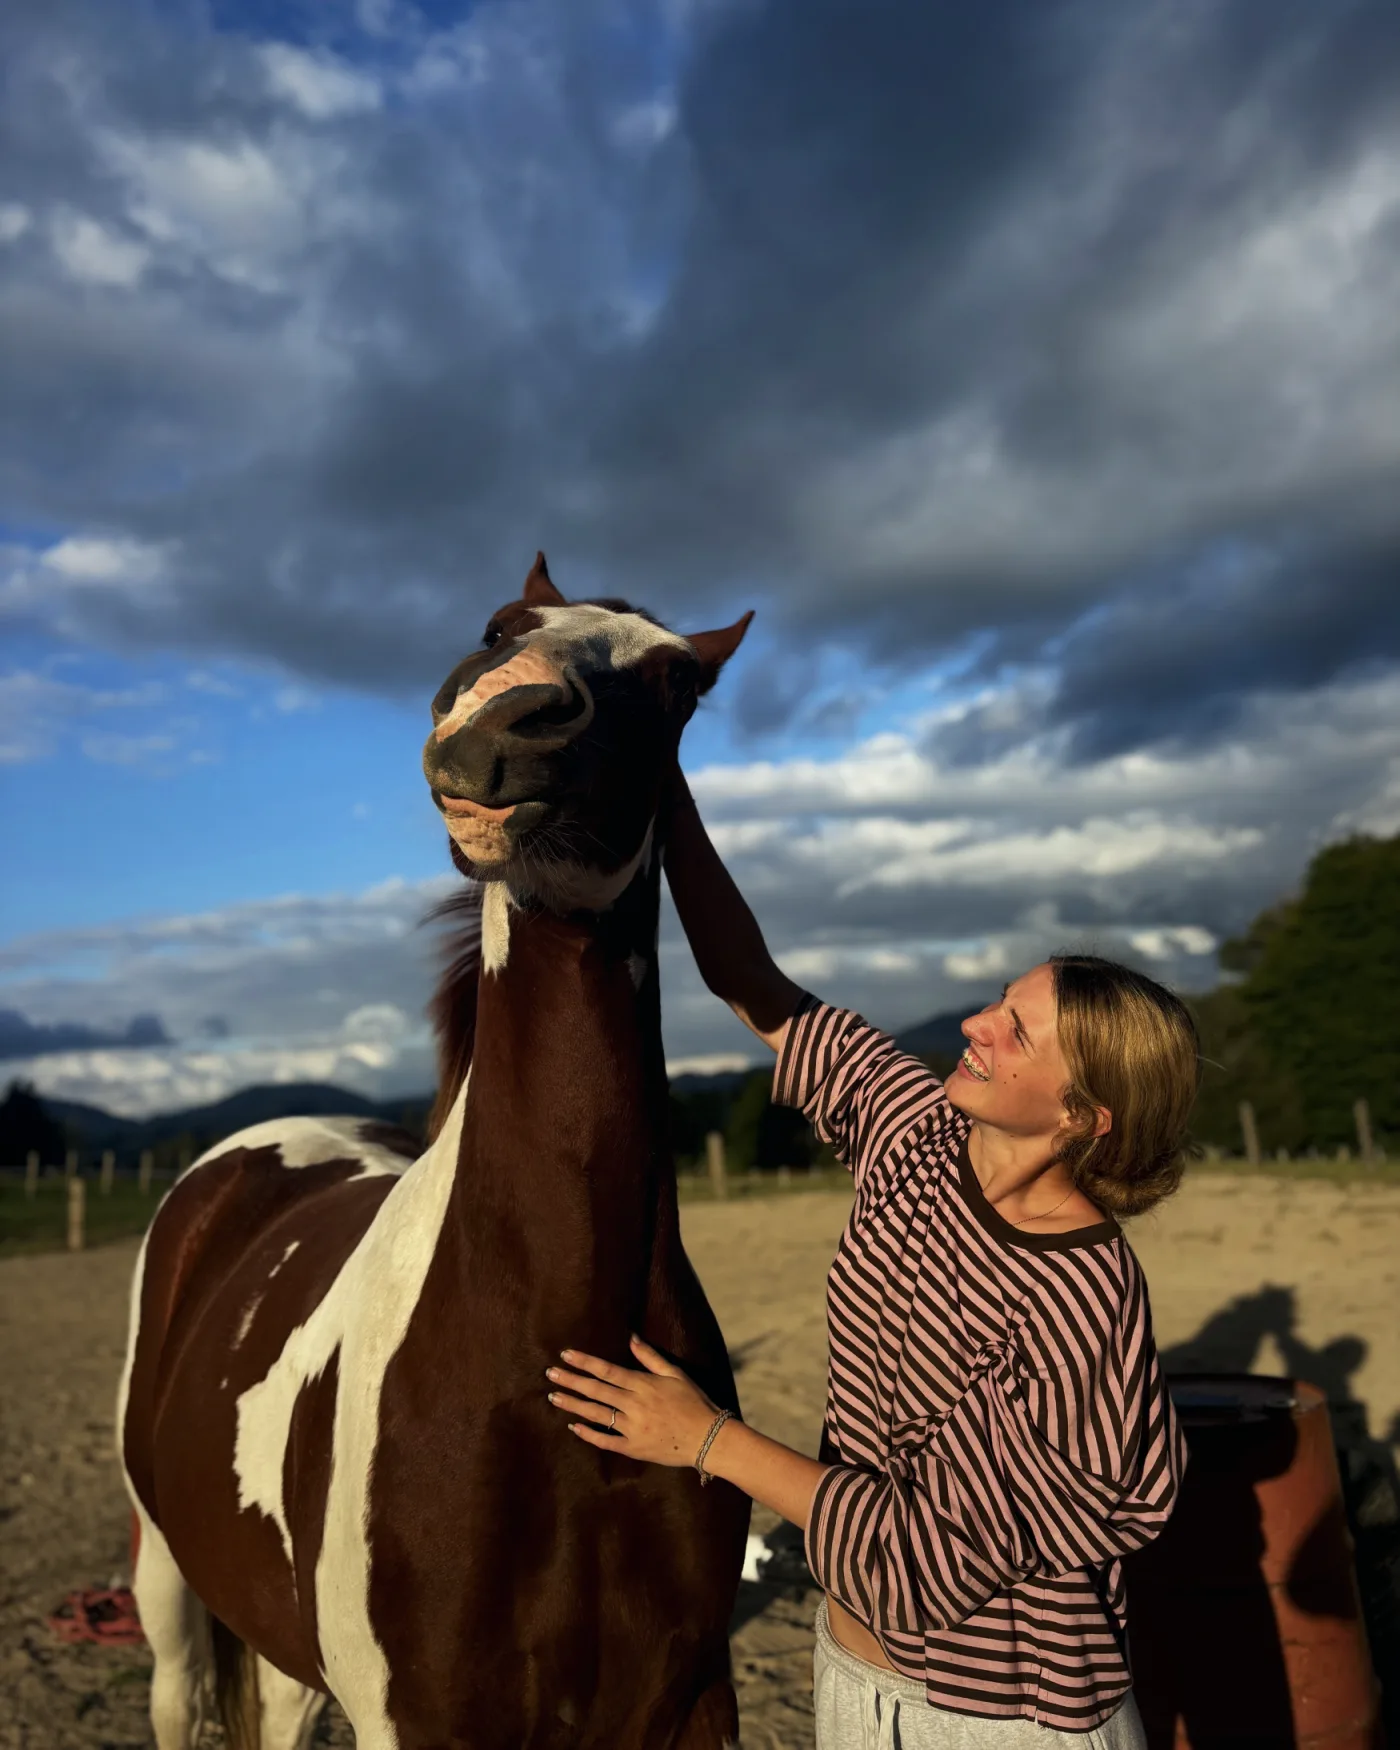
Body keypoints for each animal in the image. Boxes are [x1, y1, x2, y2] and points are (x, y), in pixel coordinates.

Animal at [118, 554, 754, 1750]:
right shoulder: (417, 1719)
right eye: (498, 626)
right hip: (164, 1578)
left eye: (681, 684)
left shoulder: (687, 1704)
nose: (507, 723)